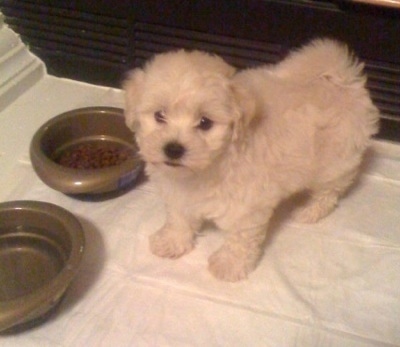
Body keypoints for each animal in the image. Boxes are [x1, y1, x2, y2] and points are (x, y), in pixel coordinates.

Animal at [123, 38, 380, 282]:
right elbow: (179, 217)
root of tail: (343, 80)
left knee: (329, 191)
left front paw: (229, 264)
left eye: (205, 123)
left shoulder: (247, 205)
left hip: (335, 161)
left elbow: (240, 237)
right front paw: (172, 241)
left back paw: (310, 211)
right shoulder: (178, 193)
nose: (173, 149)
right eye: (159, 115)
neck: (208, 167)